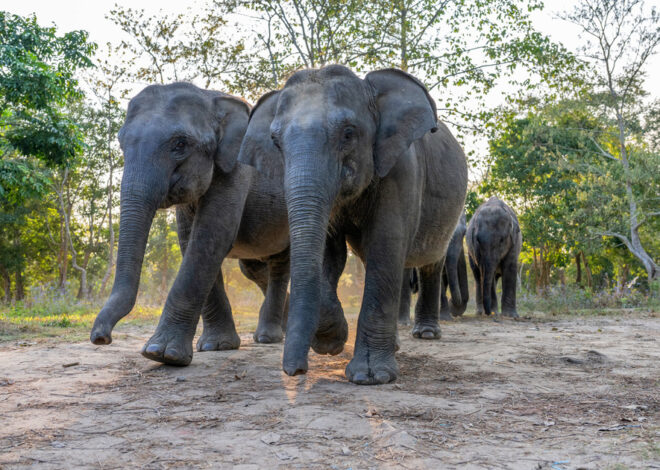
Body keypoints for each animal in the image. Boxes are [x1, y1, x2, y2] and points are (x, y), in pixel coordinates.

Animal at [90, 82, 350, 366]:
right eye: (121, 142)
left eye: (180, 144)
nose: (101, 338)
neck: (211, 98)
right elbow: (190, 240)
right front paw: (216, 346)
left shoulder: (235, 172)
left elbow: (209, 237)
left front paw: (161, 354)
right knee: (253, 269)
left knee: (280, 265)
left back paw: (268, 337)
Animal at [235, 65, 466, 386]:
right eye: (275, 142)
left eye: (348, 133)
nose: (295, 371)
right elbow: (330, 253)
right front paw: (329, 343)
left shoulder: (401, 168)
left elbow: (385, 243)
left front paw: (370, 376)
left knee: (431, 262)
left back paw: (427, 334)